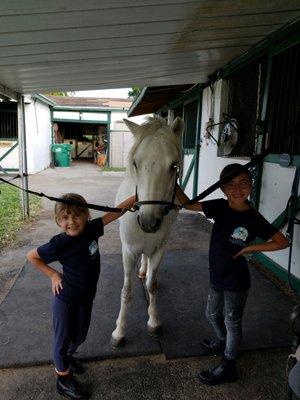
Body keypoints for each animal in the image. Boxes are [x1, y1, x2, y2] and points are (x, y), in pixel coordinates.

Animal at [111, 115, 184, 346]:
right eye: (135, 163)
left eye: (174, 165)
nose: (149, 222)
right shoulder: (128, 251)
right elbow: (126, 291)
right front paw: (119, 331)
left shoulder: (159, 249)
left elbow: (152, 285)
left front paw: (153, 321)